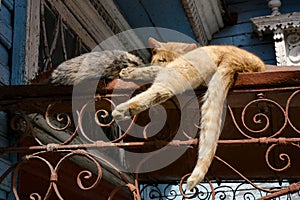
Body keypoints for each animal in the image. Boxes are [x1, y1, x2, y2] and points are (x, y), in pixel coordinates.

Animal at [112, 37, 264, 189]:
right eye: (162, 59)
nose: (166, 63)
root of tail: (238, 59)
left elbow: (149, 69)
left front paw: (128, 71)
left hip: (178, 70)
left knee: (161, 88)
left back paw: (121, 110)